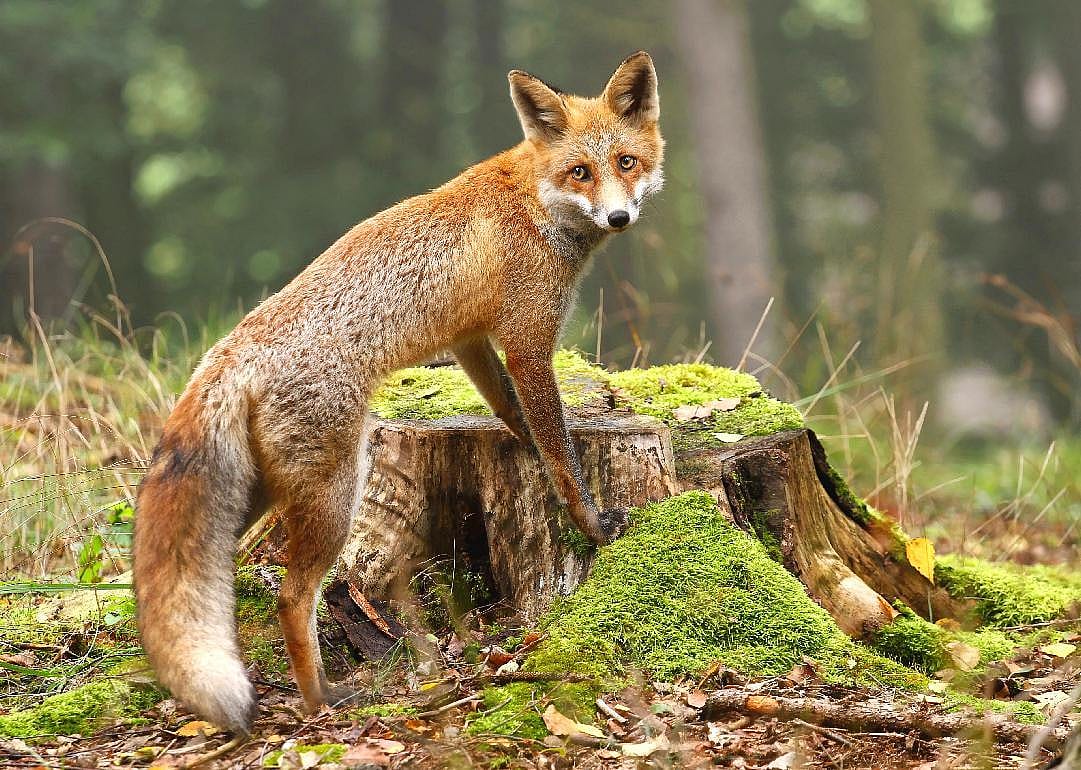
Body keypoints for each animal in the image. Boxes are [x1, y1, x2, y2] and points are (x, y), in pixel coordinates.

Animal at [132, 51, 664, 734]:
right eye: (581, 172)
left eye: (626, 162)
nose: (619, 217)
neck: (535, 201)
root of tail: (234, 348)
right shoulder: (526, 341)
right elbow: (561, 452)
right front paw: (592, 522)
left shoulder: (471, 341)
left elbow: (512, 414)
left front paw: (530, 448)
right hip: (336, 494)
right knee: (291, 597)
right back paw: (319, 699)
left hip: (256, 495)